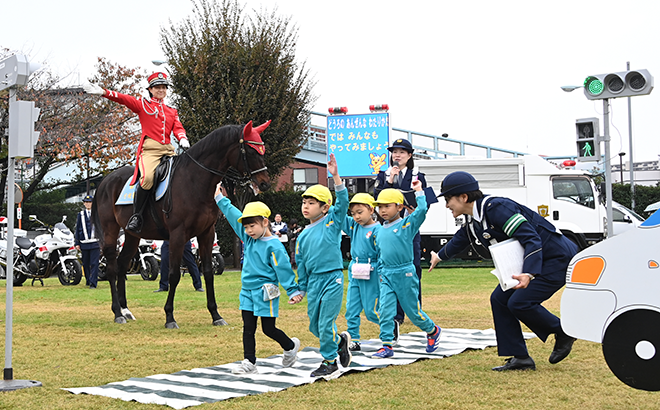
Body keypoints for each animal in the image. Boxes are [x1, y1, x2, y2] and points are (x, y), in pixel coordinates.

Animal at [91, 121, 270, 326]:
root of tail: (106, 181)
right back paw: (117, 313)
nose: (265, 184)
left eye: (262, 150)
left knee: (121, 265)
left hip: (132, 235)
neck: (195, 180)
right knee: (112, 269)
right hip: (111, 231)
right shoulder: (178, 234)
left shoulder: (206, 233)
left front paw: (216, 315)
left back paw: (125, 310)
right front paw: (169, 316)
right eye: (251, 151)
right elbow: (174, 274)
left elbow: (208, 272)